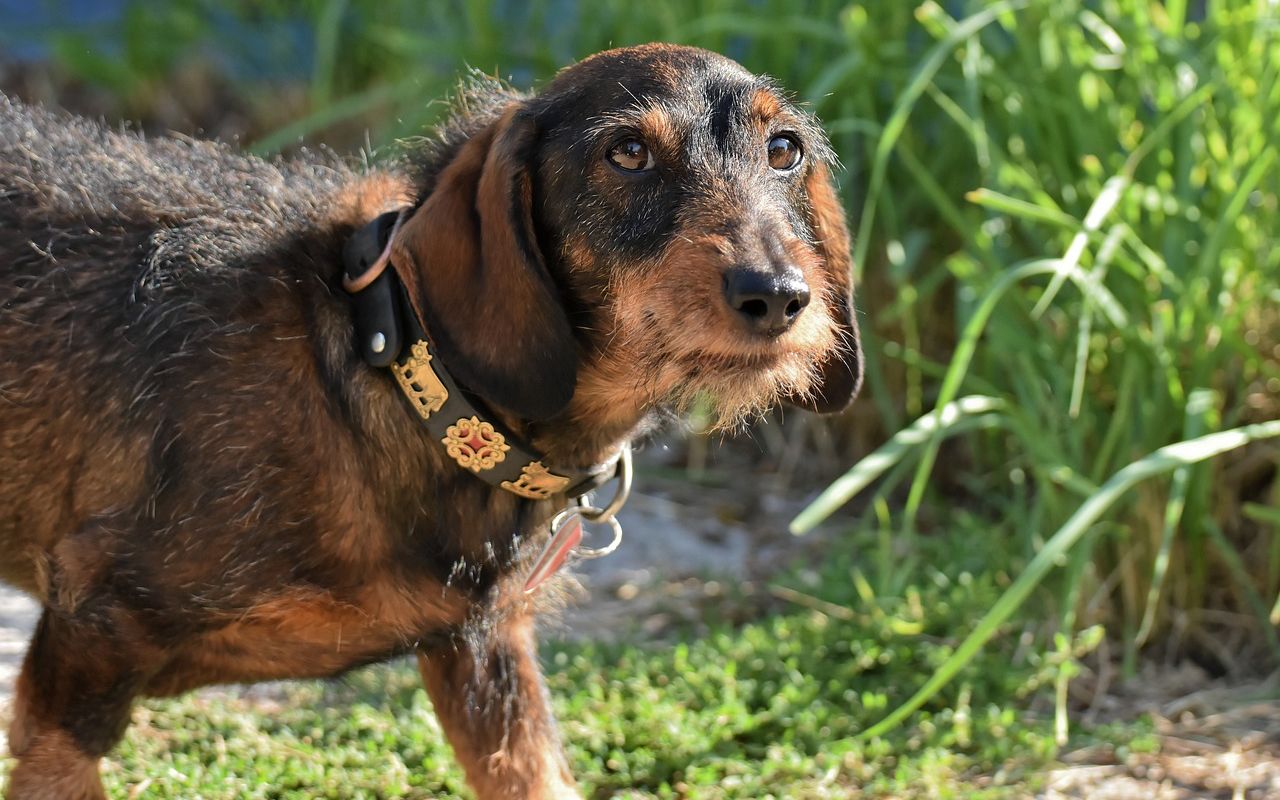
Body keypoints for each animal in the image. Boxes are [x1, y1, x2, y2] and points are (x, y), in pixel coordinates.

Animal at [0, 43, 865, 798]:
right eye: (627, 153)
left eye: (784, 150)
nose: (779, 296)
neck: (405, 383)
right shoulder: (81, 652)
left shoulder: (484, 659)